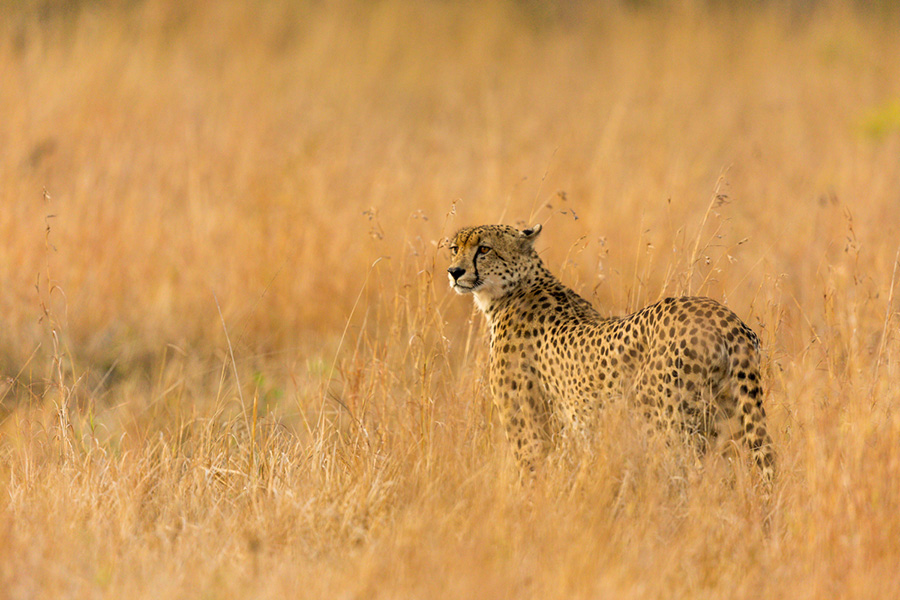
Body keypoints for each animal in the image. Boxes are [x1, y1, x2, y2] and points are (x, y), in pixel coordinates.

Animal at [446, 224, 776, 482]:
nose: (454, 272)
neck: (514, 289)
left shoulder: (529, 430)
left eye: (484, 249)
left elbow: (530, 474)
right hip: (729, 423)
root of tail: (722, 315)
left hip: (669, 428)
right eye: (454, 248)